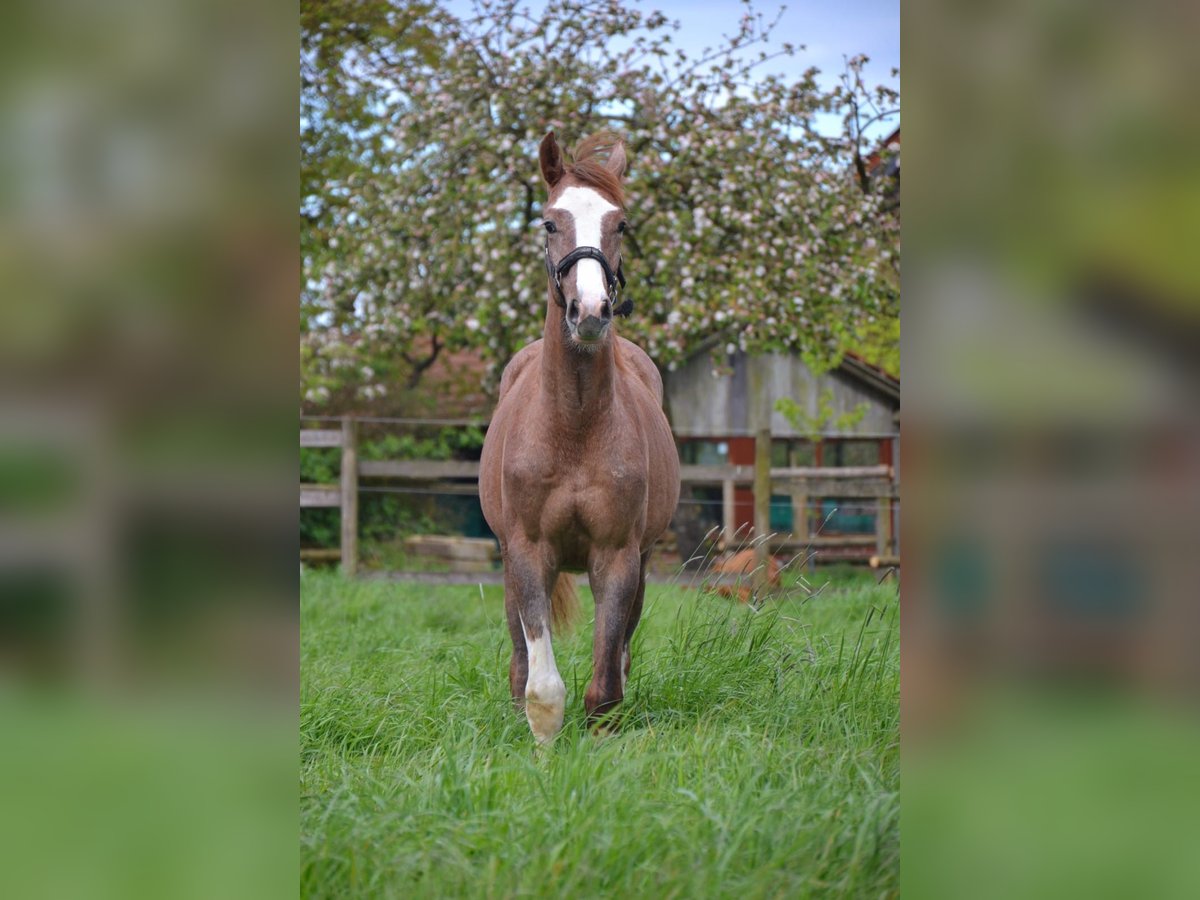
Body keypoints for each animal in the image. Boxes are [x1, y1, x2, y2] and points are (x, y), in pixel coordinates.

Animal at [480, 130, 686, 744]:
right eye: (550, 222)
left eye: (621, 224)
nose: (590, 311)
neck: (572, 426)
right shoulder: (527, 552)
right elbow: (542, 685)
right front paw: (544, 749)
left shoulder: (617, 557)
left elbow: (606, 684)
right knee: (519, 658)